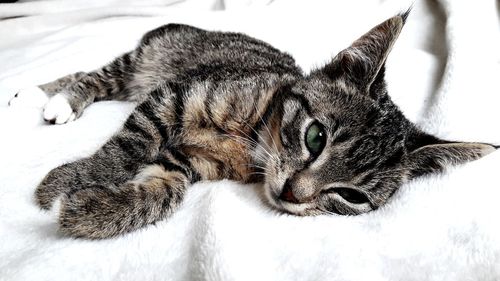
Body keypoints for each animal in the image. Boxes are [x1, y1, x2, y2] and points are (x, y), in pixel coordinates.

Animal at [8, 11, 496, 238]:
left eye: (352, 196)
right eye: (315, 136)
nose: (292, 194)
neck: (256, 140)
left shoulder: (187, 161)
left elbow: (164, 190)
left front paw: (91, 211)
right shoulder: (175, 96)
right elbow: (129, 145)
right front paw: (70, 181)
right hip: (148, 62)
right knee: (98, 76)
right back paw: (46, 96)